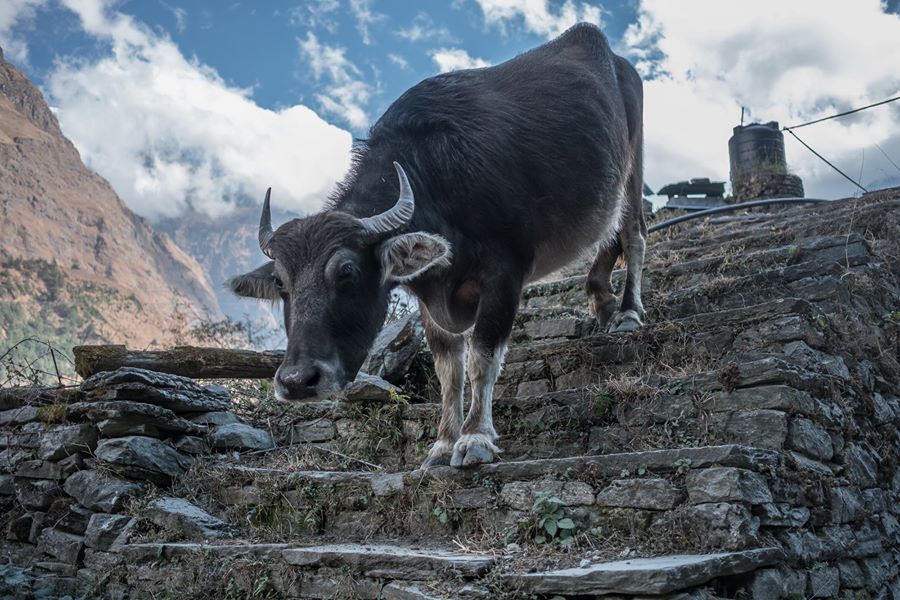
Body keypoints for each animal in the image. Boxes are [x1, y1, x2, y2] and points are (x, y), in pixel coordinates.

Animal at [229, 22, 644, 468]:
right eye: (280, 283)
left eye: (347, 271)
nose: (297, 381)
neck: (442, 179)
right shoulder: (430, 298)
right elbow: (449, 369)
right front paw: (443, 443)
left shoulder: (505, 274)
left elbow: (481, 357)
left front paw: (475, 438)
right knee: (610, 235)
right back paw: (601, 301)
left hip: (633, 166)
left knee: (633, 234)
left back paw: (628, 312)